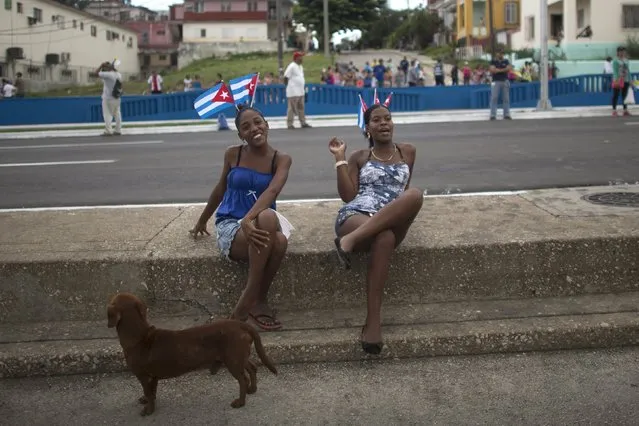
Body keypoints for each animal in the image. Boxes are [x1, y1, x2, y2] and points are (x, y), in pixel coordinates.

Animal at [108, 292, 278, 414]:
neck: (139, 336)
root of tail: (242, 325)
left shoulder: (143, 376)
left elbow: (149, 392)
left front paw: (148, 410)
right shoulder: (153, 377)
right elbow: (152, 392)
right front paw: (146, 400)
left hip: (233, 361)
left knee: (243, 380)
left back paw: (240, 402)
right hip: (238, 357)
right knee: (252, 367)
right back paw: (252, 389)